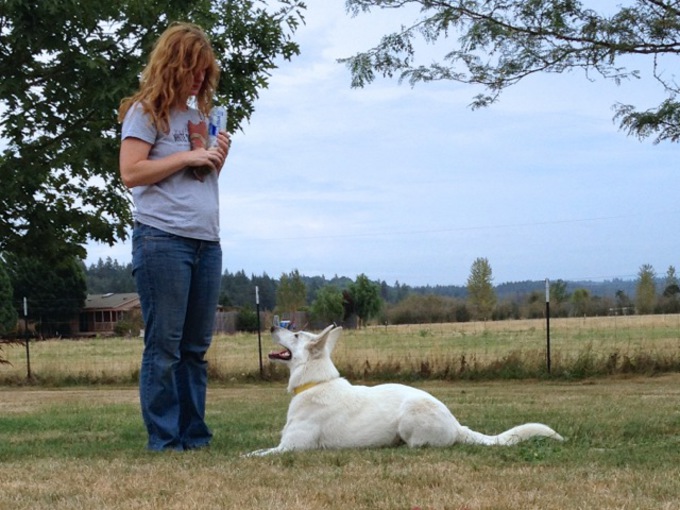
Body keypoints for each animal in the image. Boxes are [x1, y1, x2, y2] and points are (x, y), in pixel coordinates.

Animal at [247, 324, 564, 456]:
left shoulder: (291, 448)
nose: (272, 325)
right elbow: (259, 449)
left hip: (411, 415)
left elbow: (258, 455)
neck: (315, 382)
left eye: (295, 334)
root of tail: (456, 425)